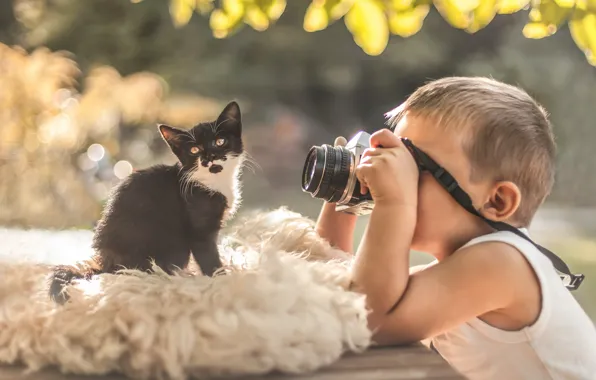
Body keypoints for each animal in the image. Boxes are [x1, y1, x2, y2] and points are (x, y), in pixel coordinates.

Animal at [49, 100, 244, 302]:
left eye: (220, 141)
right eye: (194, 149)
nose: (209, 157)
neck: (212, 181)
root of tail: (104, 263)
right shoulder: (199, 225)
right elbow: (208, 256)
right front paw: (222, 281)